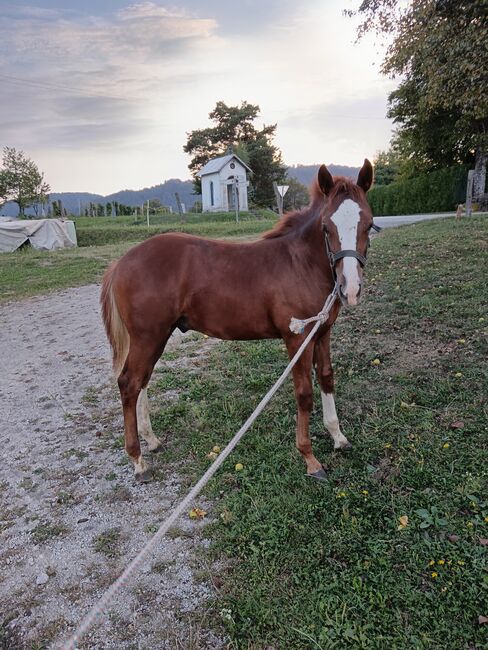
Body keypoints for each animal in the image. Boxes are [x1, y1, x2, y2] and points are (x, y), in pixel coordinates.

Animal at [99, 159, 374, 478]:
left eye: (369, 224)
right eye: (326, 227)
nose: (350, 289)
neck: (301, 264)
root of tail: (120, 262)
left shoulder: (323, 332)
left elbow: (327, 378)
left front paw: (338, 437)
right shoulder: (297, 339)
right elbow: (304, 394)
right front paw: (309, 458)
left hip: (157, 336)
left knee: (142, 381)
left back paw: (151, 441)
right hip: (148, 336)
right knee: (129, 383)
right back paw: (137, 459)